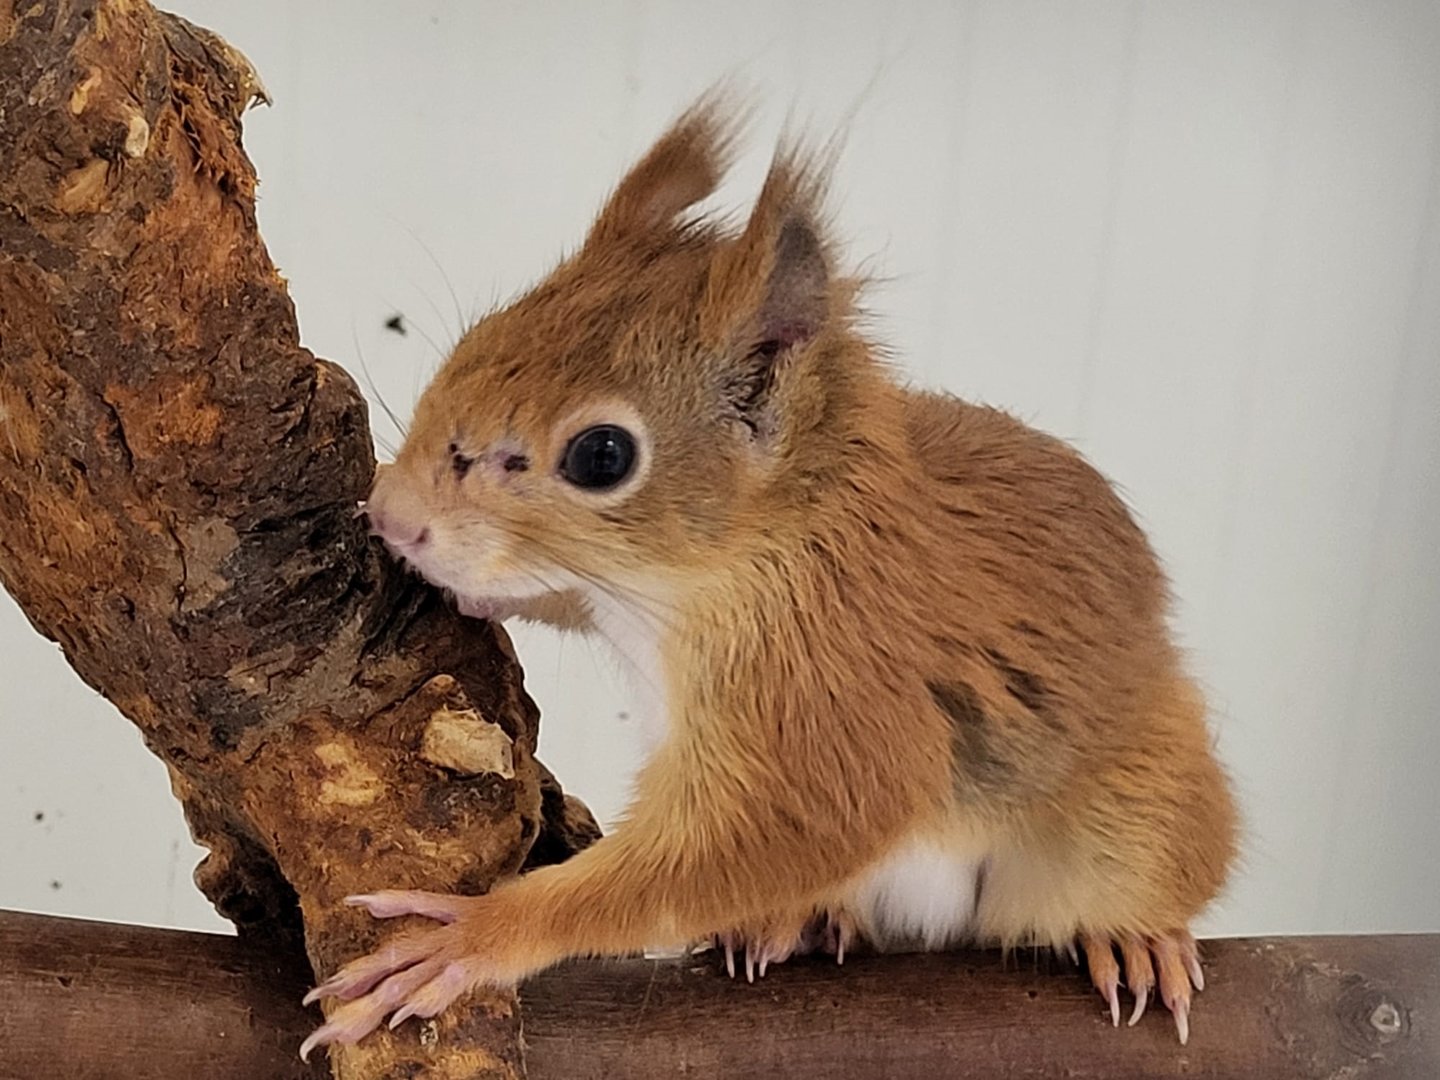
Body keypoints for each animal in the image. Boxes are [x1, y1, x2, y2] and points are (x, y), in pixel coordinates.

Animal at [301, 95, 1238, 1060]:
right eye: (481, 336)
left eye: (602, 456)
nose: (393, 518)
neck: (714, 576)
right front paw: (469, 581)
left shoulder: (832, 702)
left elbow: (750, 846)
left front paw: (468, 940)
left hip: (1138, 820)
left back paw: (1139, 939)